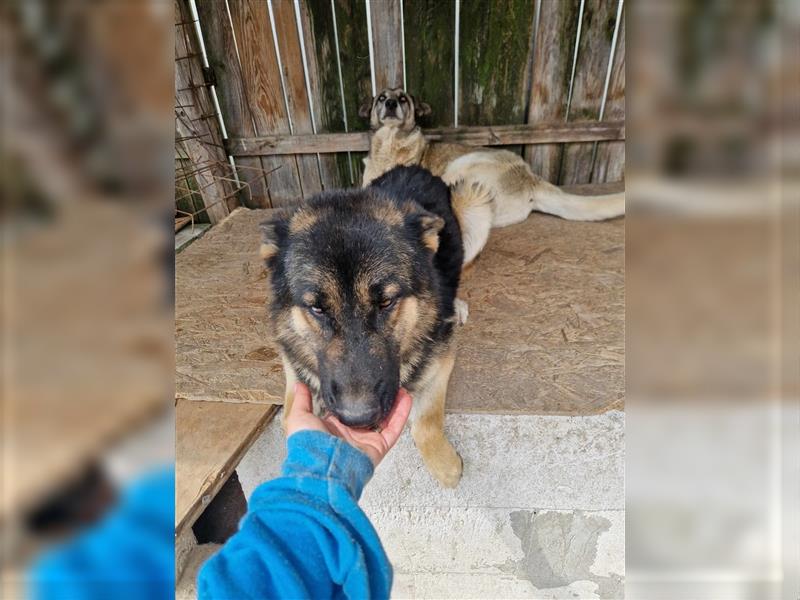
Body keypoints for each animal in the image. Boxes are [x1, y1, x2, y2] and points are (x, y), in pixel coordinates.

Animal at [260, 164, 482, 488]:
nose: (358, 419)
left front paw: (445, 465)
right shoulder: (292, 365)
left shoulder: (442, 355)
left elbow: (426, 420)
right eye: (317, 308)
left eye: (386, 302)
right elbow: (290, 418)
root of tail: (413, 167)